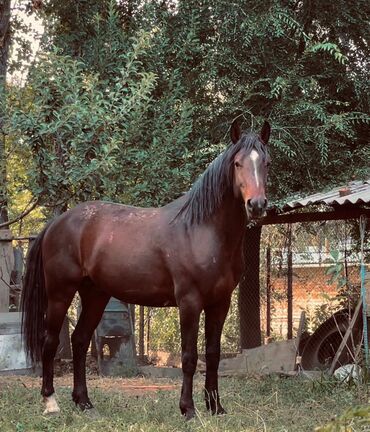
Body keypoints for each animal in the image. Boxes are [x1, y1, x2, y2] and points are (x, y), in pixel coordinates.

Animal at [21, 120, 270, 420]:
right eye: (237, 163)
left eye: (266, 162)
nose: (256, 205)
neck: (201, 229)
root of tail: (56, 223)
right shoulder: (189, 302)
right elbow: (189, 357)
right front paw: (188, 409)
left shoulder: (220, 303)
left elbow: (213, 354)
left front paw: (216, 407)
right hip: (60, 293)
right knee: (49, 343)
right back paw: (51, 402)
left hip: (95, 296)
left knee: (79, 341)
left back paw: (84, 402)